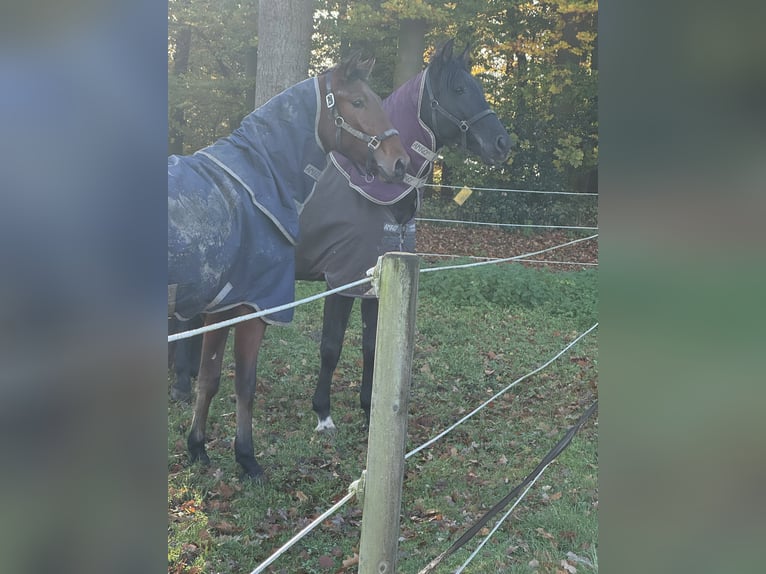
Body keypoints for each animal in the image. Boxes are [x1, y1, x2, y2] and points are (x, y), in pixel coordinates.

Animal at [168, 52, 409, 481]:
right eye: (358, 102)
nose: (399, 162)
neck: (257, 182)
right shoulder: (254, 308)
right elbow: (245, 385)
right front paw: (247, 459)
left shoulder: (222, 309)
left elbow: (210, 379)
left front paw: (197, 447)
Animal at [294, 40, 512, 433]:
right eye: (459, 89)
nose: (502, 143)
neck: (369, 190)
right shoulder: (341, 279)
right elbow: (331, 346)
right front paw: (323, 413)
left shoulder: (376, 279)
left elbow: (372, 345)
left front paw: (369, 408)